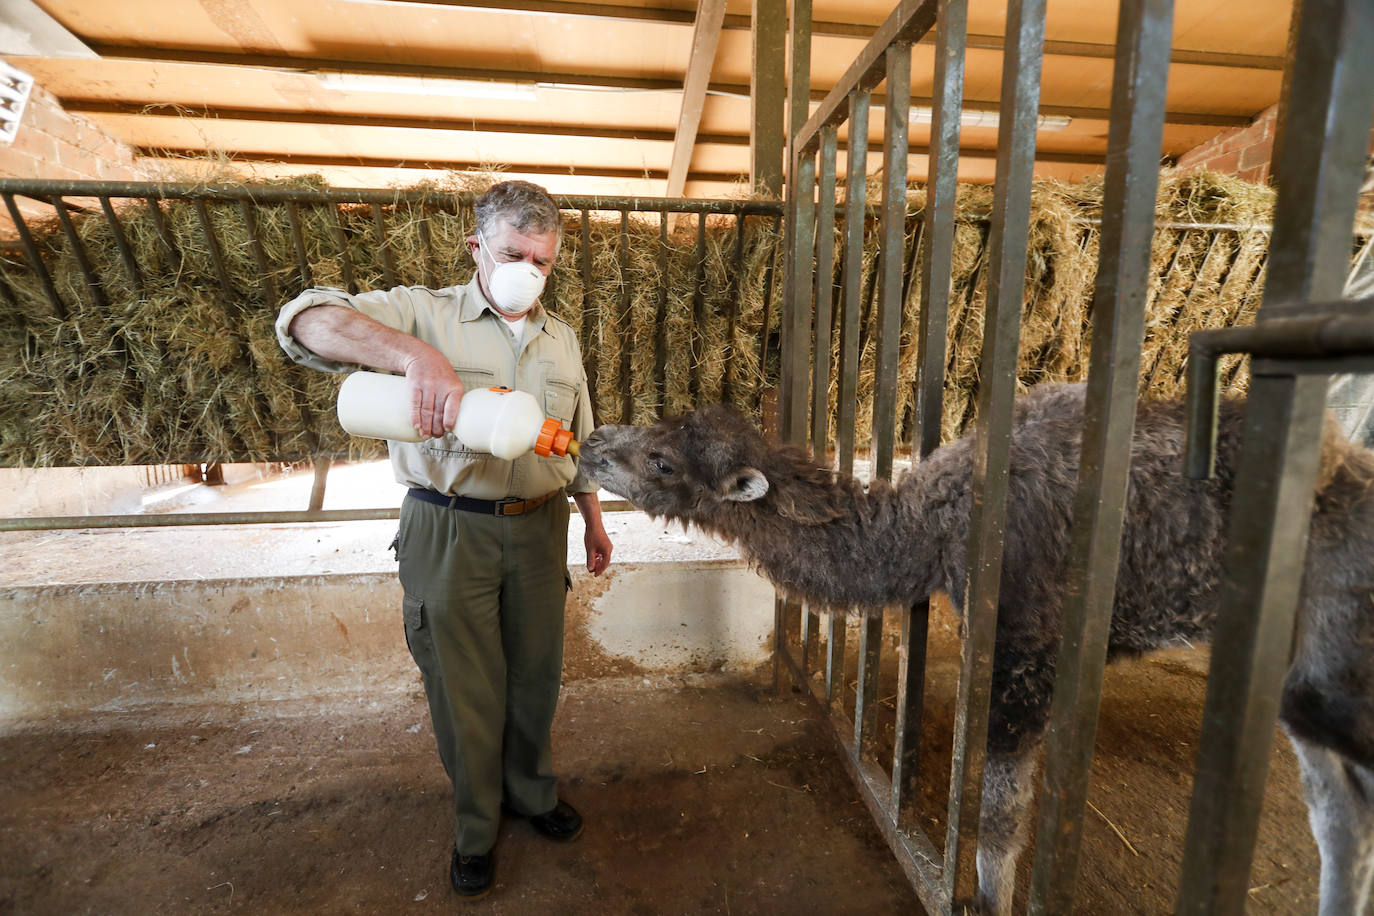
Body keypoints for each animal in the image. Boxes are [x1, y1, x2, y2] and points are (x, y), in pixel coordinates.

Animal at [577, 384, 1374, 916]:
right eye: (659, 423)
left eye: (663, 462)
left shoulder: (1026, 653)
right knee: (1340, 816)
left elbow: (997, 813)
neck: (935, 525)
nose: (590, 442)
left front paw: (985, 899)